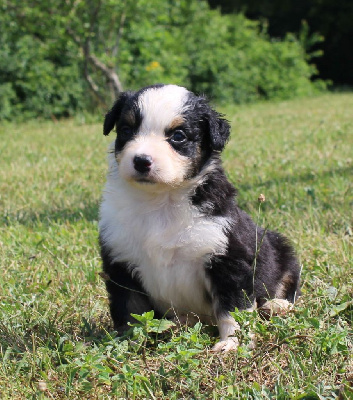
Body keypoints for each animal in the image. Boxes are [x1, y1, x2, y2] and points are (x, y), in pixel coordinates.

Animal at [99, 83, 300, 350]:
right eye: (126, 130)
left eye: (178, 136)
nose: (141, 160)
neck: (160, 201)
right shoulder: (119, 260)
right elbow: (130, 311)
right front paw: (127, 344)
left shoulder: (227, 258)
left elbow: (232, 308)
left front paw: (231, 345)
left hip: (281, 248)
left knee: (287, 285)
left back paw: (277, 306)